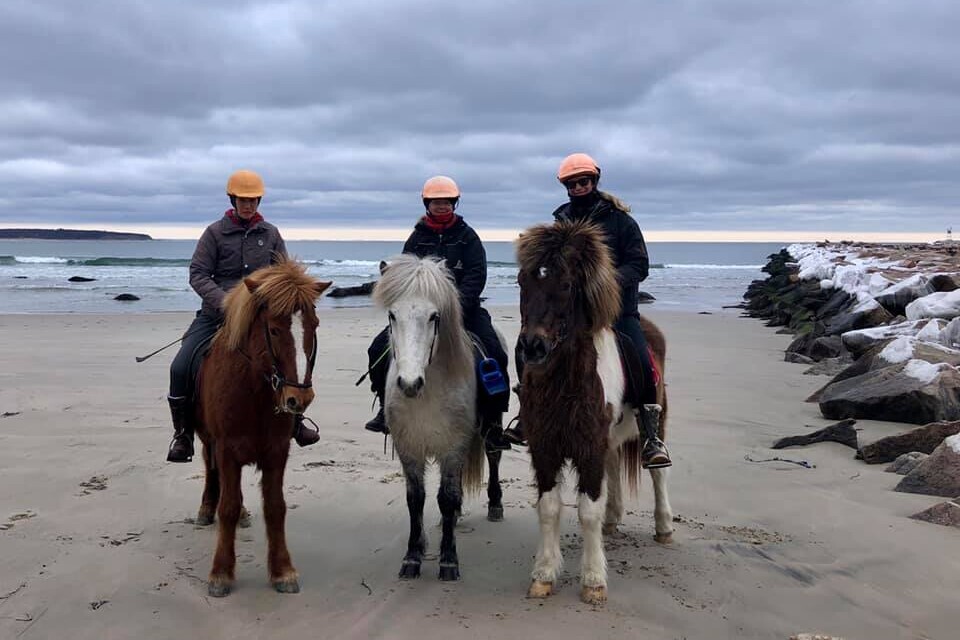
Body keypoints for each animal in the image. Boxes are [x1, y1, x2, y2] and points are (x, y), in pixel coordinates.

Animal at [192, 258, 334, 596]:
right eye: (273, 329)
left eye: (314, 326)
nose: (299, 398)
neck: (254, 389)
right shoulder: (226, 448)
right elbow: (227, 507)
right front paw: (221, 573)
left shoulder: (276, 451)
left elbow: (275, 507)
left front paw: (282, 570)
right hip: (207, 438)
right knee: (210, 469)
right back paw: (206, 508)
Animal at [372, 254, 502, 580]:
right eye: (392, 315)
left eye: (434, 316)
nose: (409, 383)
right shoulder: (408, 449)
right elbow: (415, 499)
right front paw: (413, 556)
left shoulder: (453, 448)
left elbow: (447, 497)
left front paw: (448, 560)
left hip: (490, 429)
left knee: (493, 455)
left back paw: (495, 504)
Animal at [516, 220, 676, 604]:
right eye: (522, 281)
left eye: (566, 284)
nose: (532, 347)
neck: (565, 381)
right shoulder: (545, 447)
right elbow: (549, 508)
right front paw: (544, 575)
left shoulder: (588, 446)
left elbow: (588, 510)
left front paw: (592, 581)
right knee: (614, 465)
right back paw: (613, 520)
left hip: (657, 419)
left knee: (659, 474)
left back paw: (664, 526)